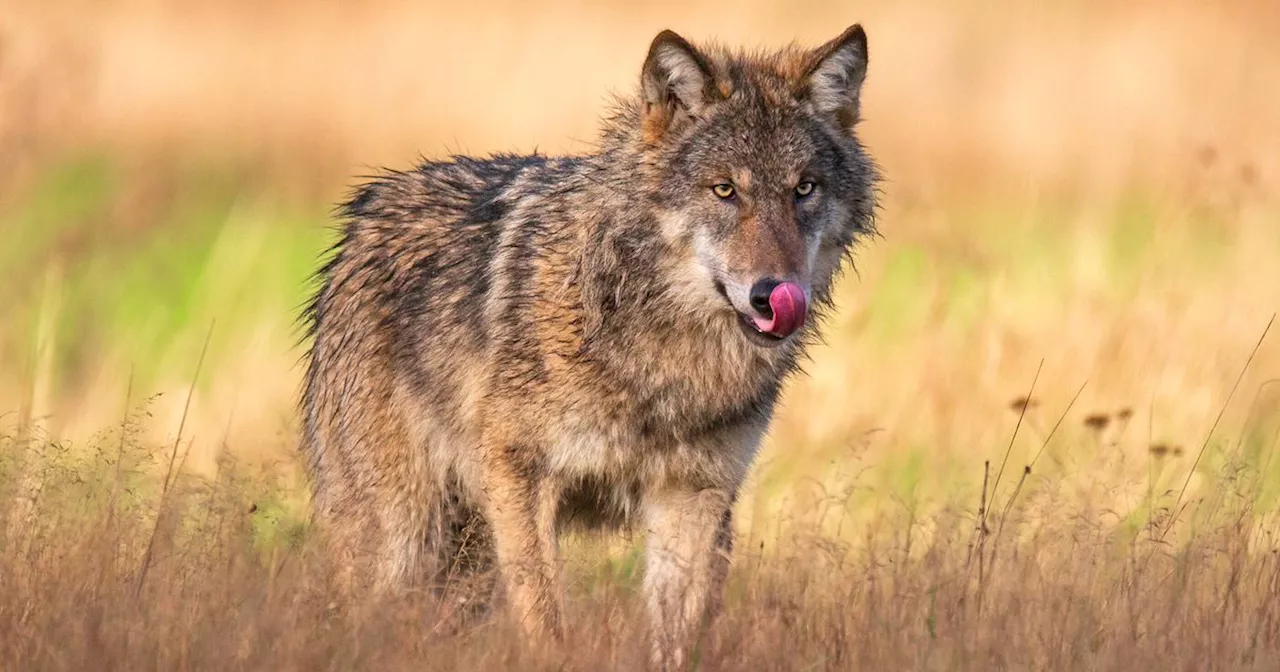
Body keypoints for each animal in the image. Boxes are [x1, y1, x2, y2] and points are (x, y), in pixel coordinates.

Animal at [300, 22, 880, 665]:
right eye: (725, 190)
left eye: (804, 189)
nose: (774, 295)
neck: (662, 353)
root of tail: (365, 212)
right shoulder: (521, 477)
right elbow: (544, 619)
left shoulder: (693, 499)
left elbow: (676, 638)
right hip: (401, 537)